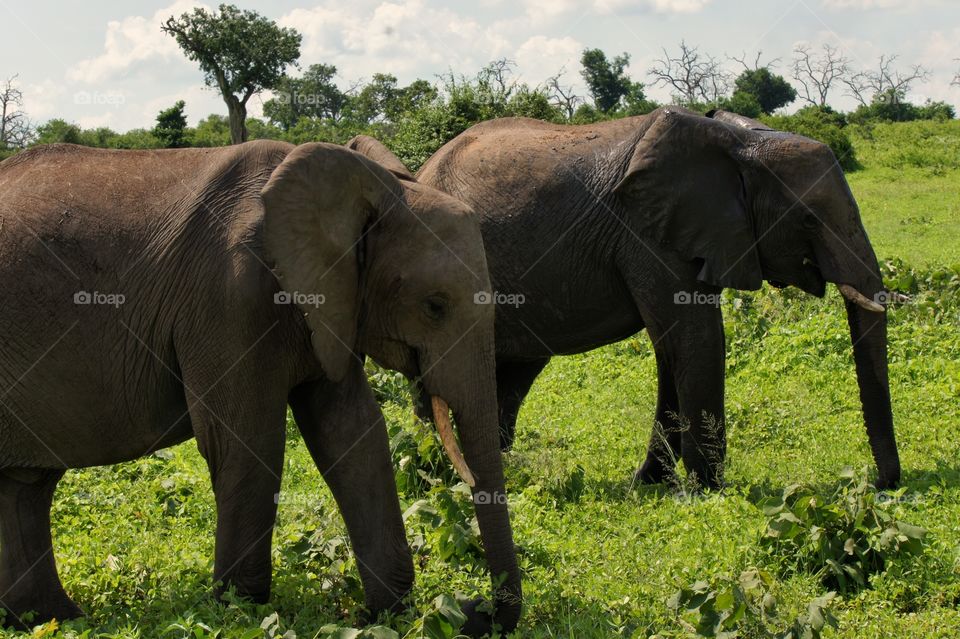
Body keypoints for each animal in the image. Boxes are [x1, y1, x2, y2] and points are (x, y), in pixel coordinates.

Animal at [0, 140, 516, 636]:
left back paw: (51, 620)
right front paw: (240, 609)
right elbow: (247, 442)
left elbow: (353, 434)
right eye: (435, 306)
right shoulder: (231, 297)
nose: (477, 609)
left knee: (24, 485)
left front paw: (392, 615)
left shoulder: (330, 301)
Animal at [350, 107, 900, 492]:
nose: (883, 484)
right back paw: (442, 474)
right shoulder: (648, 234)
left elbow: (674, 348)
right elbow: (696, 339)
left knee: (511, 369)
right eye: (808, 218)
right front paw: (710, 489)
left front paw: (653, 482)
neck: (741, 144)